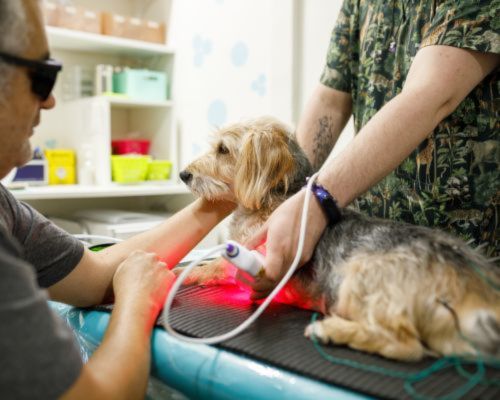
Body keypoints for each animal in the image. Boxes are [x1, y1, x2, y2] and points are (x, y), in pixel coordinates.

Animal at [178, 116, 498, 362]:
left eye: (223, 149)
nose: (183, 174)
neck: (276, 195)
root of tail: (470, 279)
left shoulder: (255, 254)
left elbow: (216, 266)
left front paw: (188, 273)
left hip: (358, 277)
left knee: (406, 346)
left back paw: (331, 331)